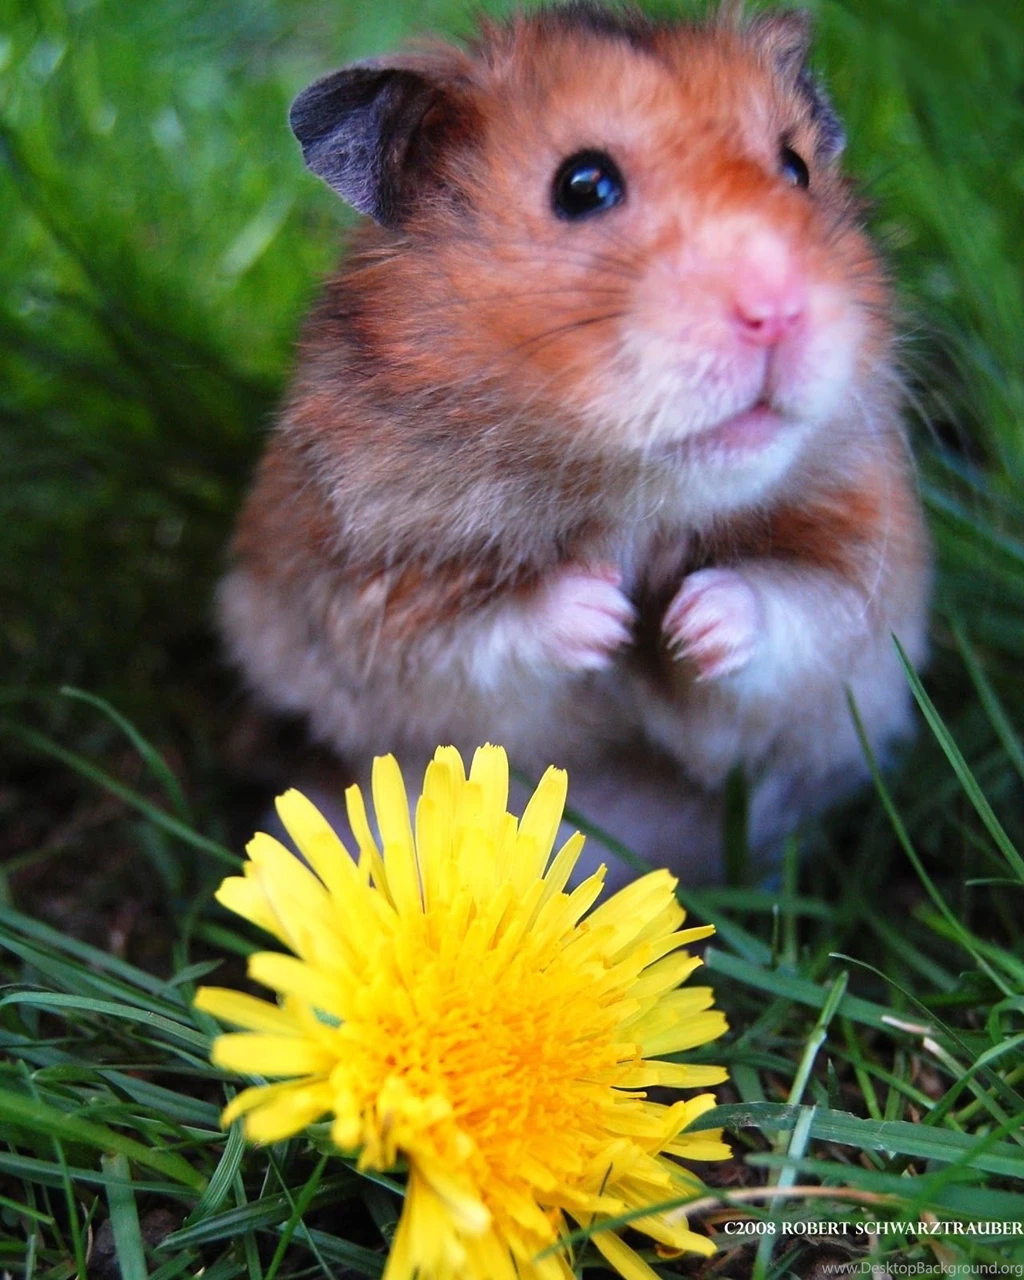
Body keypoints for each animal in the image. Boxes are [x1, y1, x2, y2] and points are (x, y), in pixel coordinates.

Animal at [218, 2, 930, 884]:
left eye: (796, 168)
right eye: (582, 185)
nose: (779, 310)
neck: (634, 496)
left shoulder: (867, 587)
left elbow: (791, 609)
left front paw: (689, 619)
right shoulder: (367, 601)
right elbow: (490, 639)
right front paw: (607, 613)